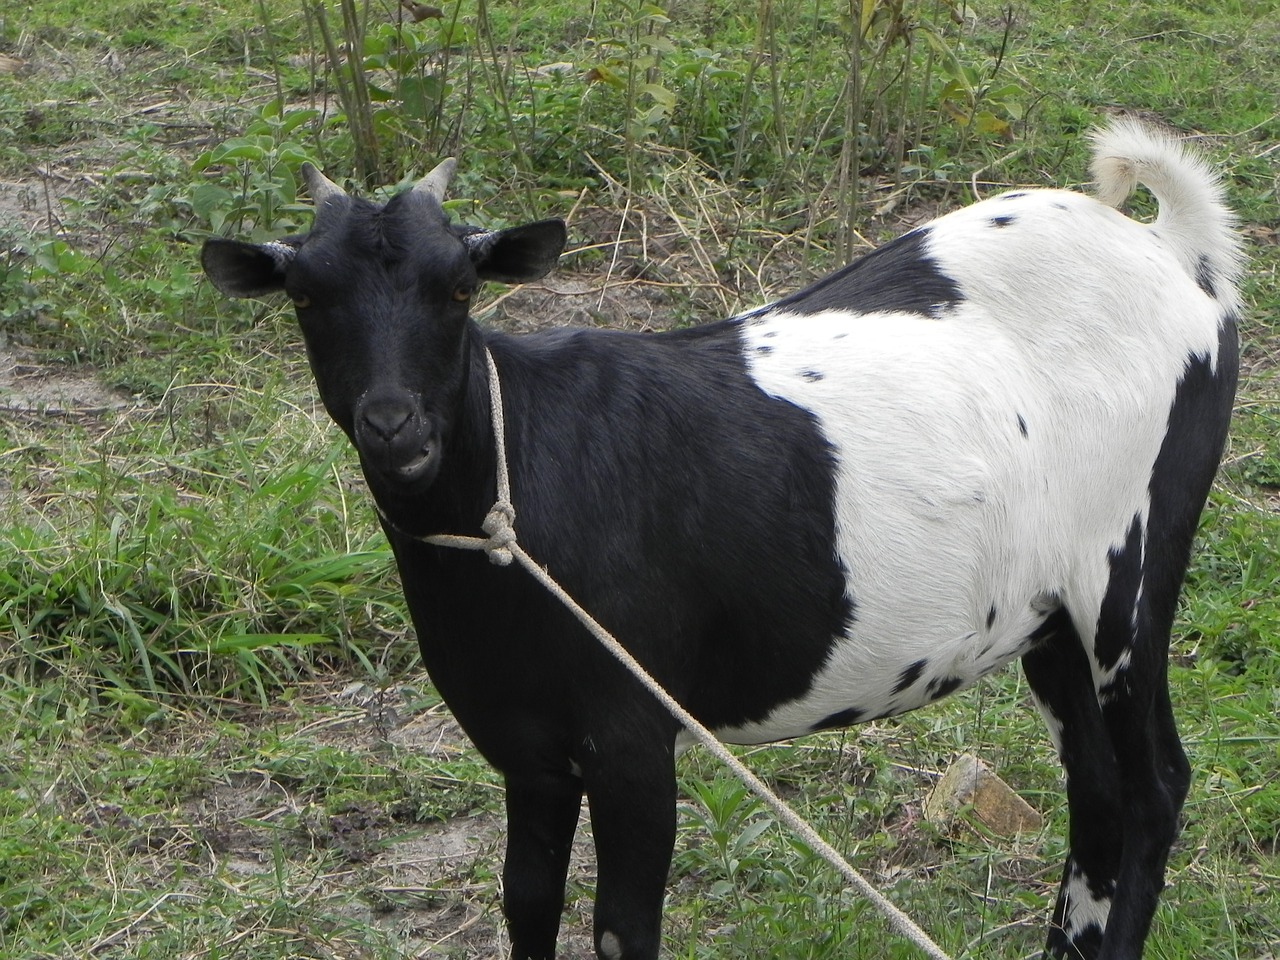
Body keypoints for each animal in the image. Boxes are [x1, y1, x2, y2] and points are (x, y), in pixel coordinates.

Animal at [199, 120, 1239, 960]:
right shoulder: (524, 750)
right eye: (305, 297)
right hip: (1048, 615)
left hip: (1131, 572)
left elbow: (622, 928)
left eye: (459, 289)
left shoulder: (631, 736)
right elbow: (527, 906)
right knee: (1096, 797)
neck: (522, 472)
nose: (395, 427)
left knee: (1151, 789)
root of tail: (1168, 247)